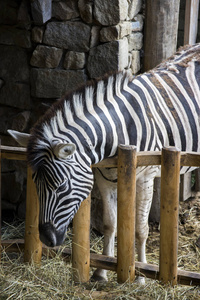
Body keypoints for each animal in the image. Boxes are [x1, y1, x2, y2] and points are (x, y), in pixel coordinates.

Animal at [8, 43, 200, 282]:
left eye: (61, 186)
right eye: (36, 183)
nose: (46, 239)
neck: (118, 134)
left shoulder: (146, 177)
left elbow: (140, 229)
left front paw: (141, 275)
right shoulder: (103, 178)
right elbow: (109, 224)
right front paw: (101, 272)